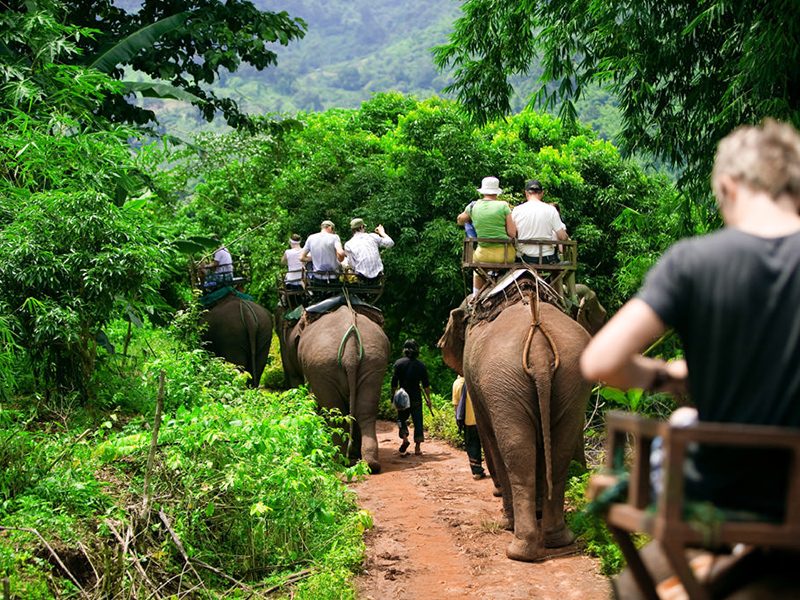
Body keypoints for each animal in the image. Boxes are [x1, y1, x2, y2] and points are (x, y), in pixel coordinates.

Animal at [276, 300, 390, 474]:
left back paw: (337, 459)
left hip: (323, 367)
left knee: (336, 413)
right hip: (374, 362)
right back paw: (370, 463)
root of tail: (350, 349)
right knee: (365, 411)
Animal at [440, 286, 596, 564]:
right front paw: (537, 511)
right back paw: (557, 538)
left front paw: (507, 518)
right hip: (572, 380)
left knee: (515, 452)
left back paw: (518, 548)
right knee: (559, 452)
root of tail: (540, 347)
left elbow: (488, 435)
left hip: (502, 382)